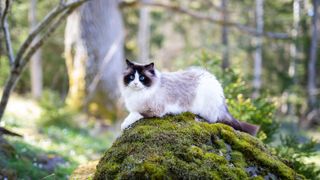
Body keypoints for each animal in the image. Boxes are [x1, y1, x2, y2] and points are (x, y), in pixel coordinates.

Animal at [119, 59, 258, 136]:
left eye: (142, 78)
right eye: (131, 77)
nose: (135, 83)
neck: (138, 93)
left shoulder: (152, 109)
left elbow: (134, 115)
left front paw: (124, 125)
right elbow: (131, 113)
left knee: (214, 119)